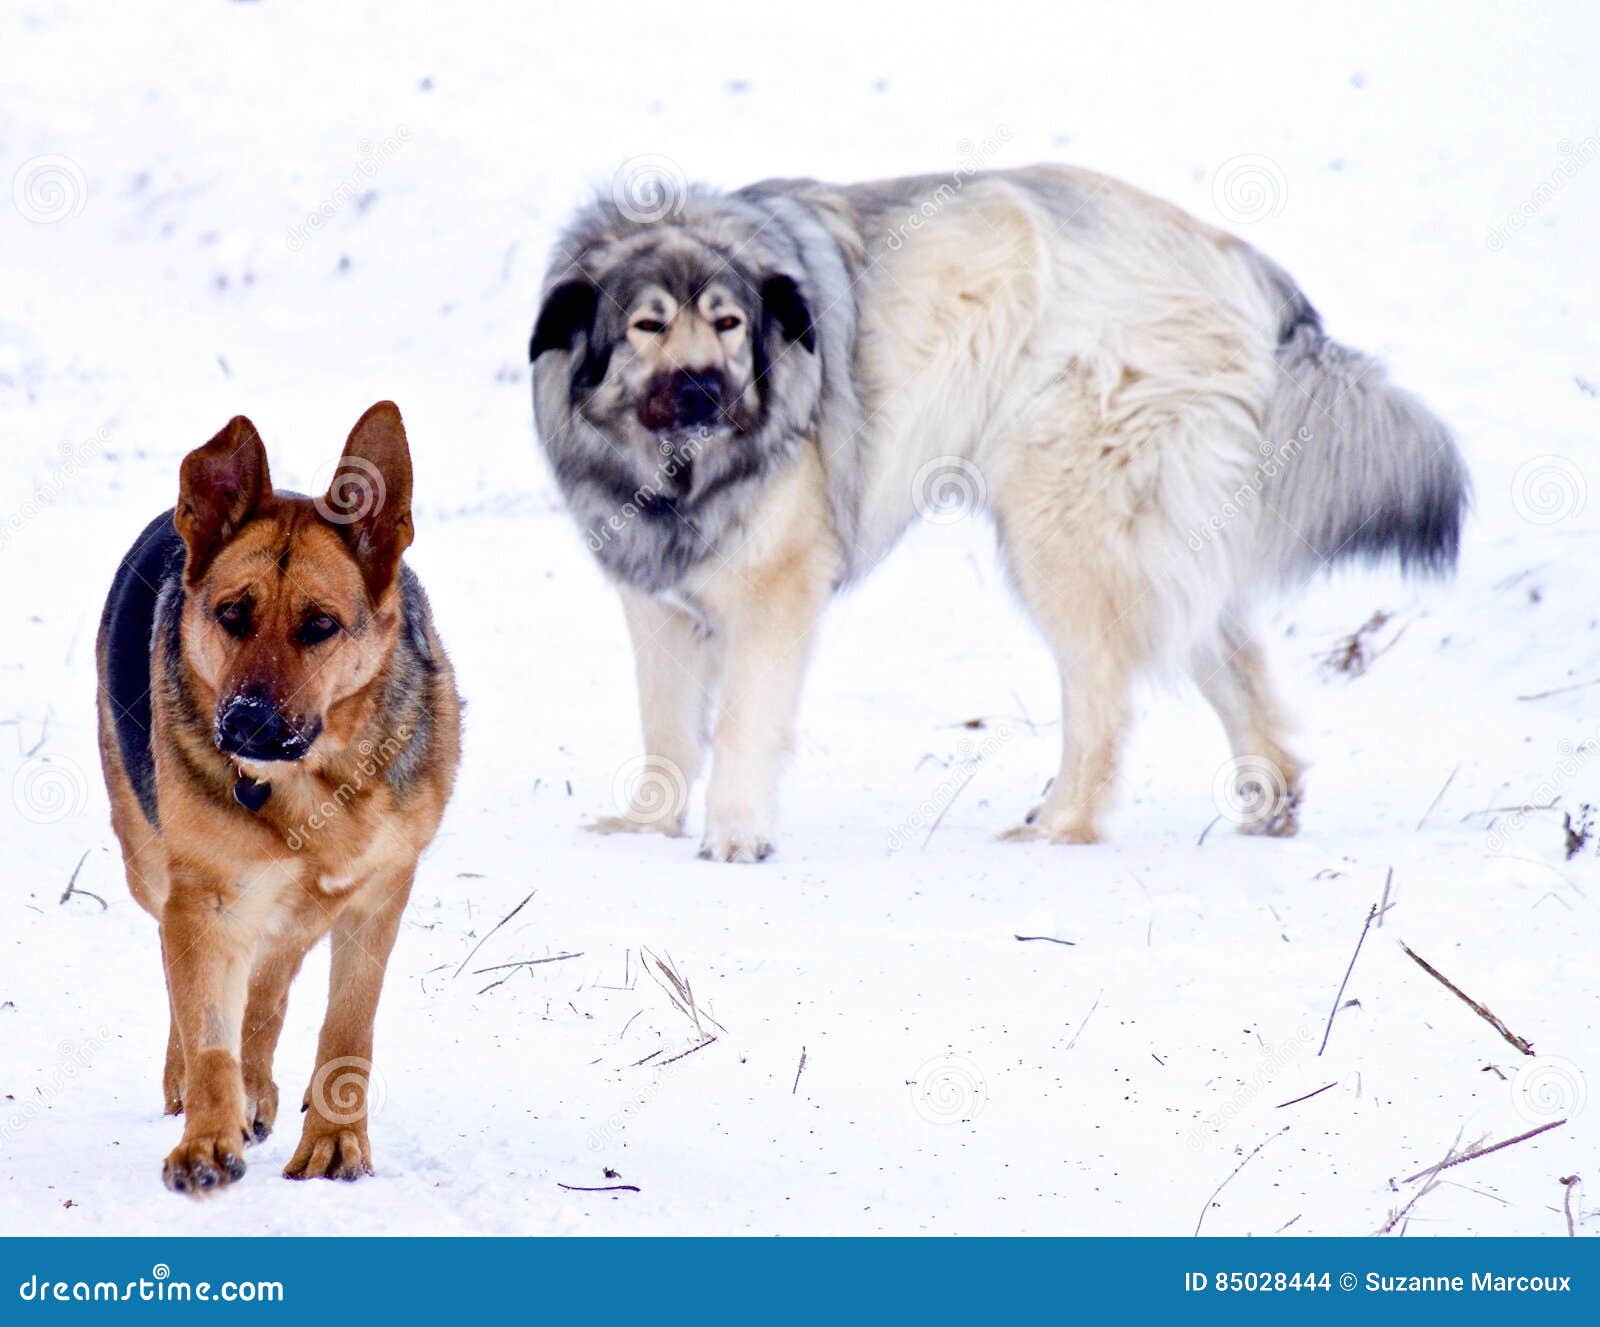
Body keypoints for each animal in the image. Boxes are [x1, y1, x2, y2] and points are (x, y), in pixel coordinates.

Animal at [93, 403, 460, 1190]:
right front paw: (207, 1139)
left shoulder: (379, 889)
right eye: (233, 614)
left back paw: (259, 1085)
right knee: (189, 968)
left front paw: (335, 1143)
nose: (247, 724)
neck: (314, 780)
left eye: (320, 626)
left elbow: (346, 1028)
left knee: (273, 974)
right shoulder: (205, 896)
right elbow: (208, 1030)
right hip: (149, 861)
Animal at [531, 165, 1465, 857]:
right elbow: (666, 726)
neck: (678, 472)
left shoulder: (777, 591)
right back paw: (1268, 799)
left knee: (1104, 698)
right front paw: (647, 825)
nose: (704, 391)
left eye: (728, 322)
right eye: (648, 326)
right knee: (1229, 663)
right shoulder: (656, 600)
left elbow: (741, 724)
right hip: (1157, 535)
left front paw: (734, 836)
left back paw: (1061, 827)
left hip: (1059, 529)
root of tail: (1242, 263)